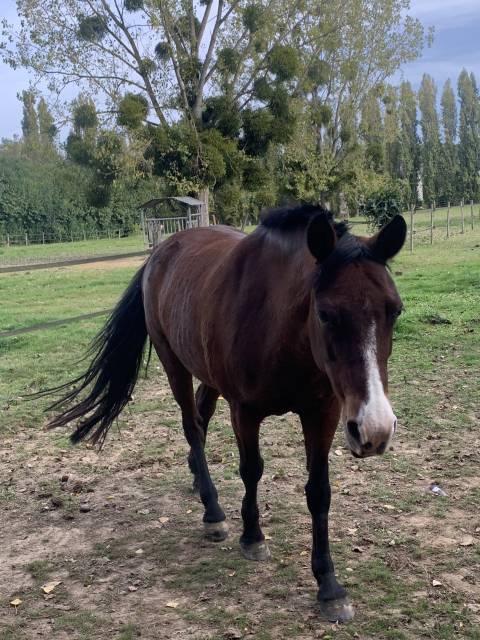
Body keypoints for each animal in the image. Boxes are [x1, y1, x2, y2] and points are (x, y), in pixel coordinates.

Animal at [46, 205, 404, 620]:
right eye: (327, 314)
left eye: (395, 310)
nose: (376, 429)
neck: (278, 327)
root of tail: (160, 253)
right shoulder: (245, 412)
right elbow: (251, 470)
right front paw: (252, 537)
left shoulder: (324, 413)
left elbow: (319, 491)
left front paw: (329, 585)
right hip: (174, 366)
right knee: (192, 428)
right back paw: (212, 510)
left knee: (201, 421)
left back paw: (198, 483)